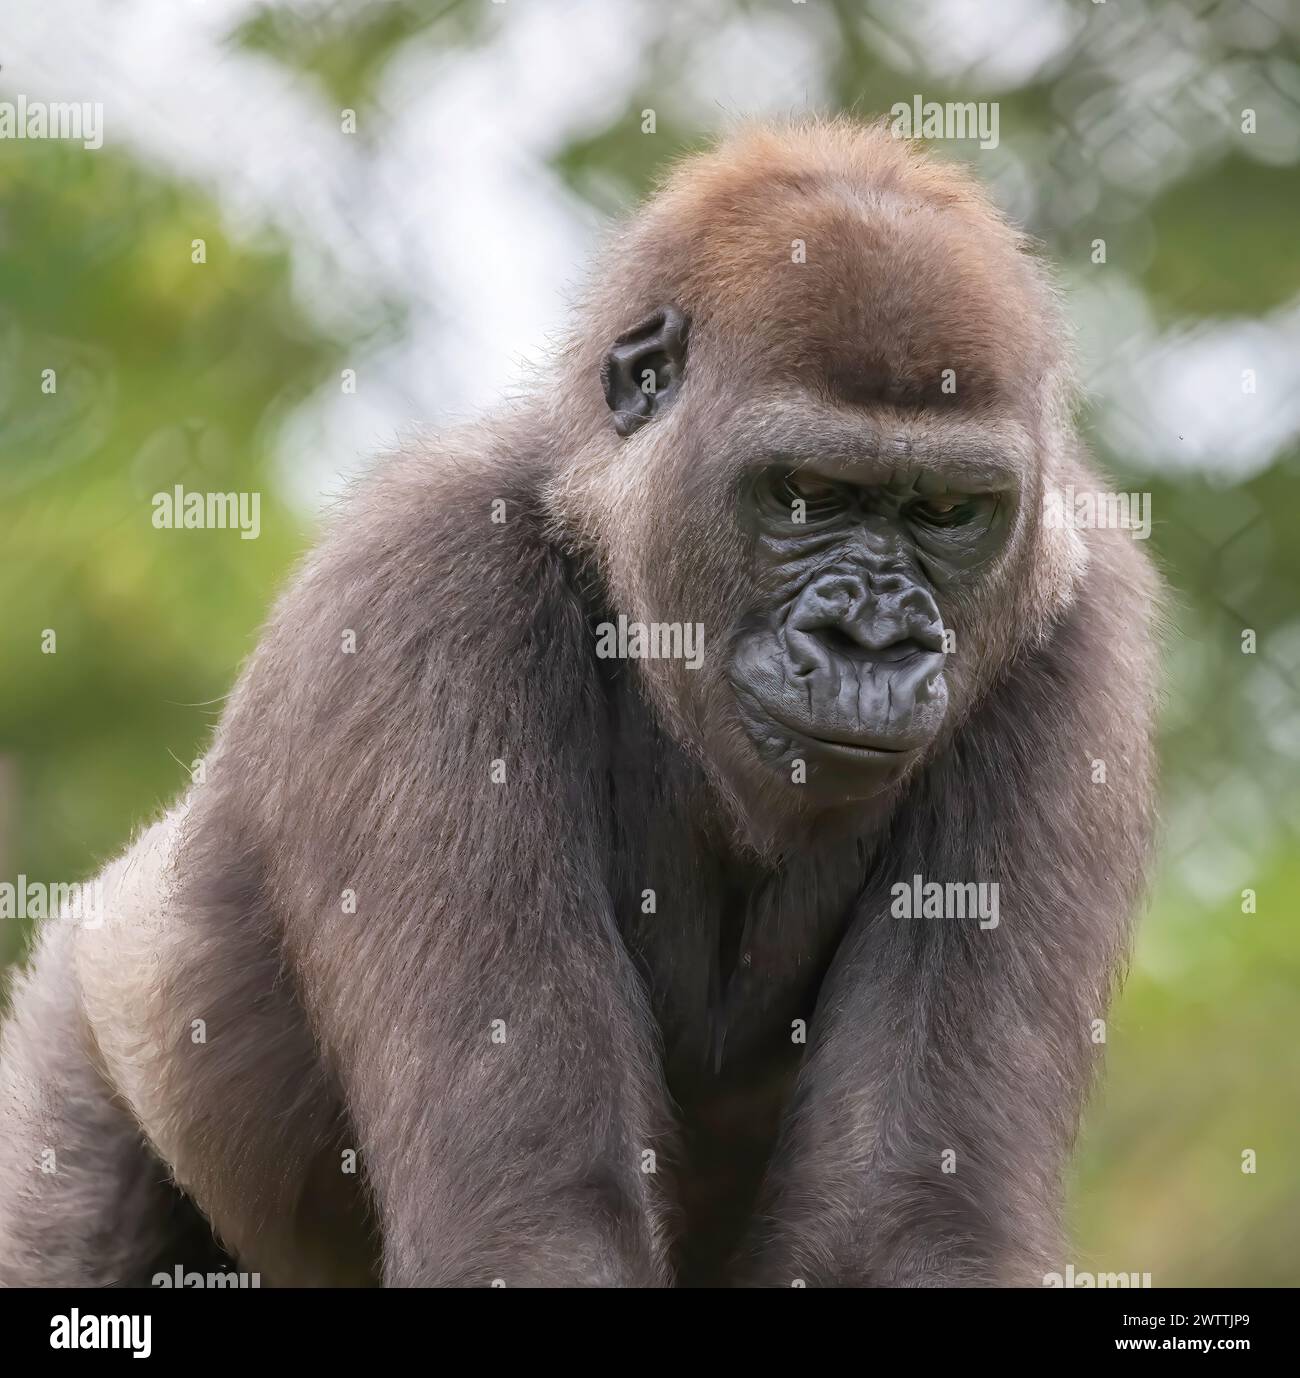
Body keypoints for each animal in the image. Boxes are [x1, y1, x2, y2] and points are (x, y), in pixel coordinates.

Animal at [0, 118, 1158, 1289]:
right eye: (805, 495)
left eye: (948, 511)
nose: (872, 643)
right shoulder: (423, 578)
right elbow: (536, 1217)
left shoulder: (1078, 625)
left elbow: (904, 1217)